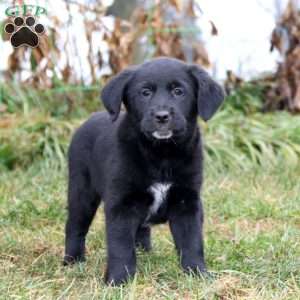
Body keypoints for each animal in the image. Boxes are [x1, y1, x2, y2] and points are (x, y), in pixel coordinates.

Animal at [63, 57, 225, 284]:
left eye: (179, 91)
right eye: (145, 92)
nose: (161, 116)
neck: (162, 154)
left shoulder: (187, 201)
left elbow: (192, 241)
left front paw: (198, 274)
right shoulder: (121, 204)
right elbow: (120, 246)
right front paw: (118, 280)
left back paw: (144, 252)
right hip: (81, 190)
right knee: (75, 226)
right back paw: (72, 260)